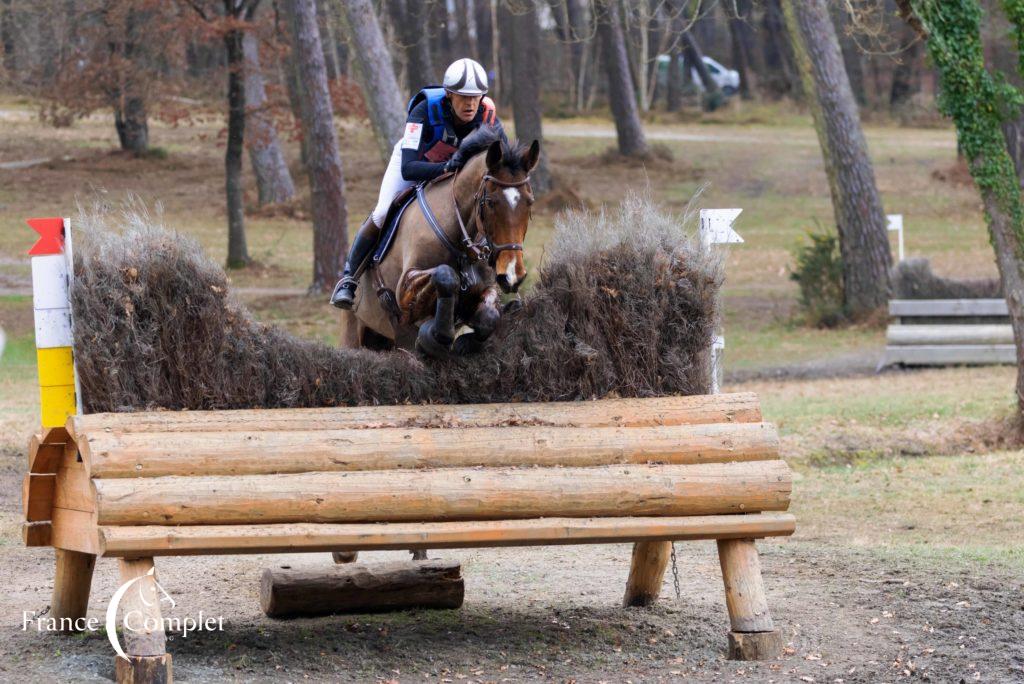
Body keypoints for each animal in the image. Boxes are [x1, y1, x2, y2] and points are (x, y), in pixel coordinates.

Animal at [339, 130, 540, 360]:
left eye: (530, 202)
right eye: (490, 202)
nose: (512, 274)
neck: (462, 246)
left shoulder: (484, 289)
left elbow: (489, 314)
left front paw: (465, 342)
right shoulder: (404, 290)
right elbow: (445, 275)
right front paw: (436, 336)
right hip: (353, 333)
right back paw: (344, 290)